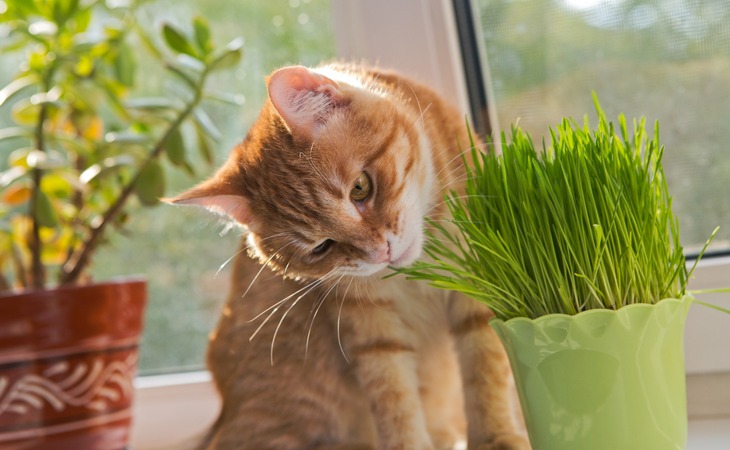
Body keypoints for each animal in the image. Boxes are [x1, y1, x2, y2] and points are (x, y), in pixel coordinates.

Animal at [173, 63, 528, 450]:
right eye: (321, 247)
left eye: (360, 188)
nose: (380, 252)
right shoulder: (370, 329)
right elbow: (394, 398)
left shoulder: (479, 287)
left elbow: (485, 372)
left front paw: (497, 437)